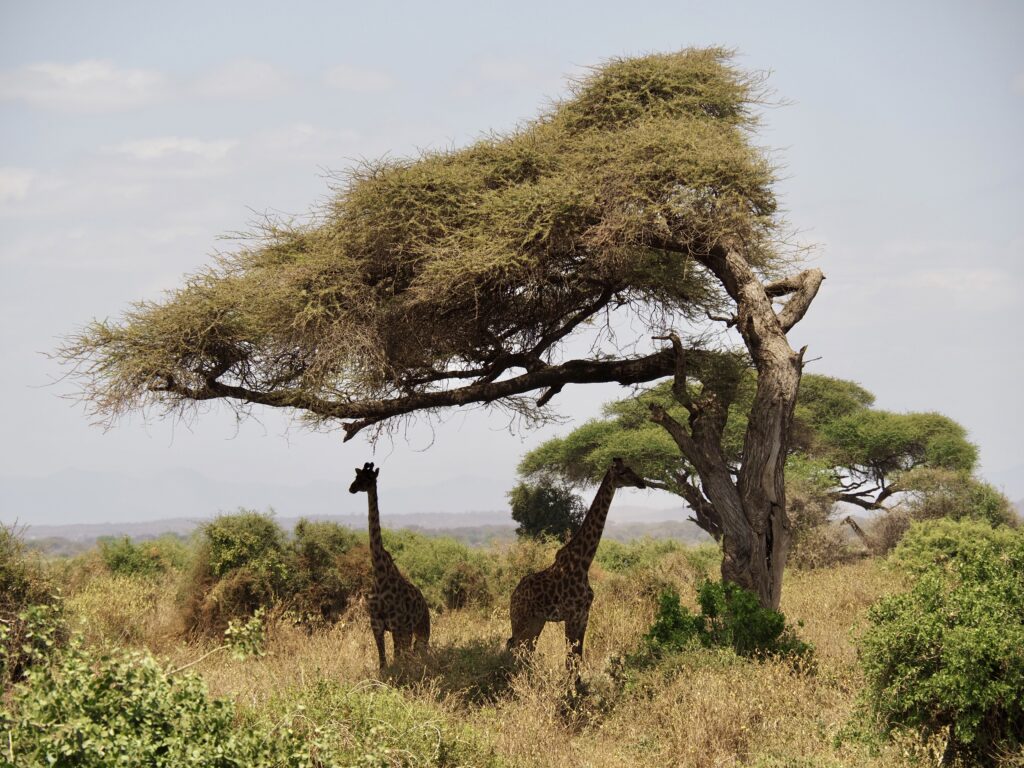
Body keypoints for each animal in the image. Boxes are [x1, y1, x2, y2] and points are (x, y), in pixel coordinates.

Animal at [350, 462, 430, 671]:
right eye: (357, 476)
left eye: (368, 478)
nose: (351, 488)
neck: (379, 574)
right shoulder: (376, 625)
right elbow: (383, 663)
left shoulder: (395, 625)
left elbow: (395, 660)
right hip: (409, 631)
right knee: (410, 652)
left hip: (421, 628)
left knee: (420, 651)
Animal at [505, 460, 643, 671]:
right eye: (623, 472)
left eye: (631, 467)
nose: (642, 482)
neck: (584, 562)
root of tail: (513, 595)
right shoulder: (571, 616)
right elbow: (570, 661)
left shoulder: (583, 616)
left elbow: (577, 659)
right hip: (521, 619)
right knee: (515, 648)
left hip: (537, 621)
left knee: (525, 651)